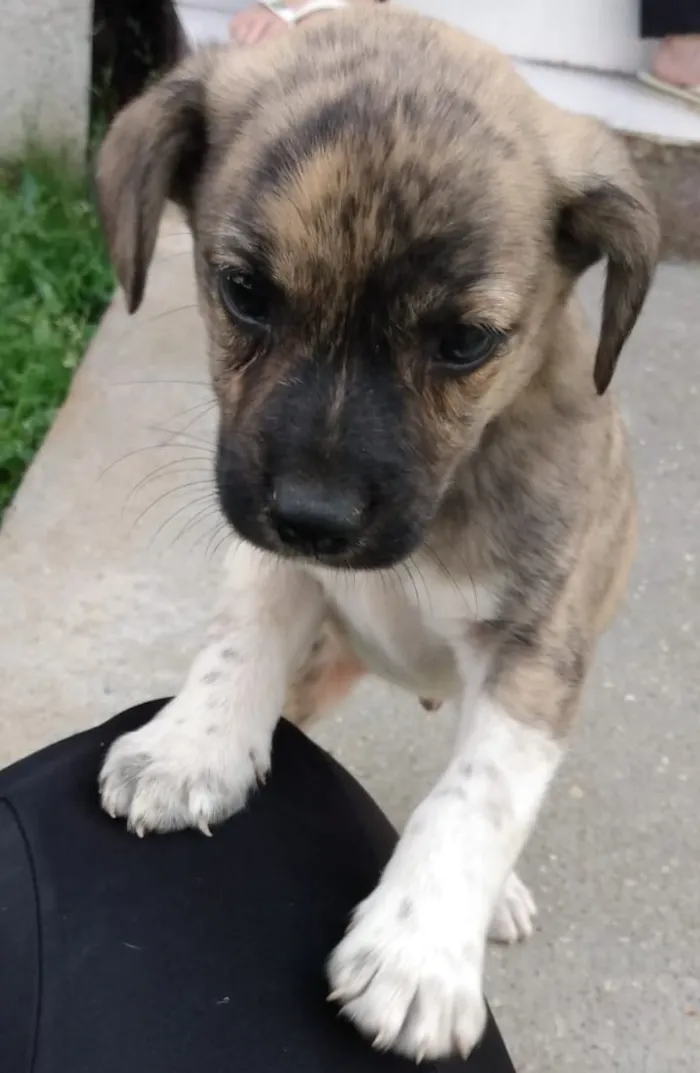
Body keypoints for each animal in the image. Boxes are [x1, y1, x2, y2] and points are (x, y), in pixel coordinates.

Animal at [95, 10, 657, 1064]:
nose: (315, 518)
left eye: (466, 344)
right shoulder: (272, 562)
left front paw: (419, 949)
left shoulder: (535, 653)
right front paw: (192, 746)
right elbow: (235, 645)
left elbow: (478, 795)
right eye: (244, 291)